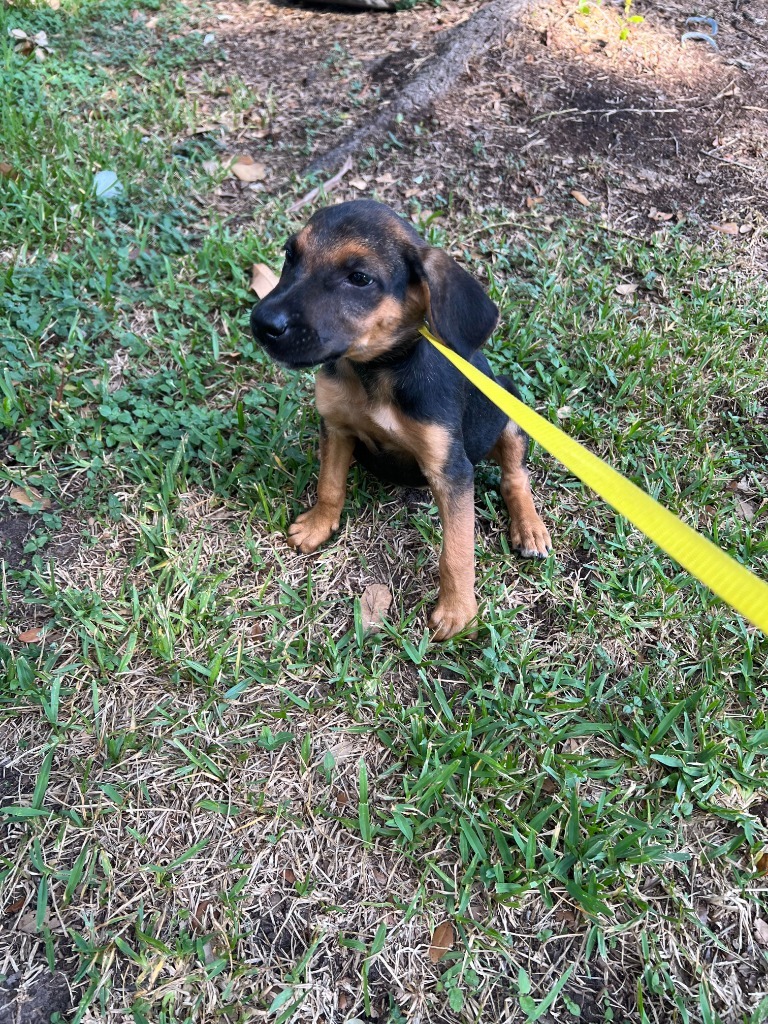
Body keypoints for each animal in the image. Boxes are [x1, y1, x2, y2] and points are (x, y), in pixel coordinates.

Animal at [252, 197, 552, 638]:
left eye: (359, 278)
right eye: (291, 255)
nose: (262, 323)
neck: (377, 371)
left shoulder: (451, 469)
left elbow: (457, 551)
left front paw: (458, 612)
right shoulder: (336, 428)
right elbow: (329, 485)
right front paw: (319, 525)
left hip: (509, 406)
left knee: (515, 475)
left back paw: (529, 527)